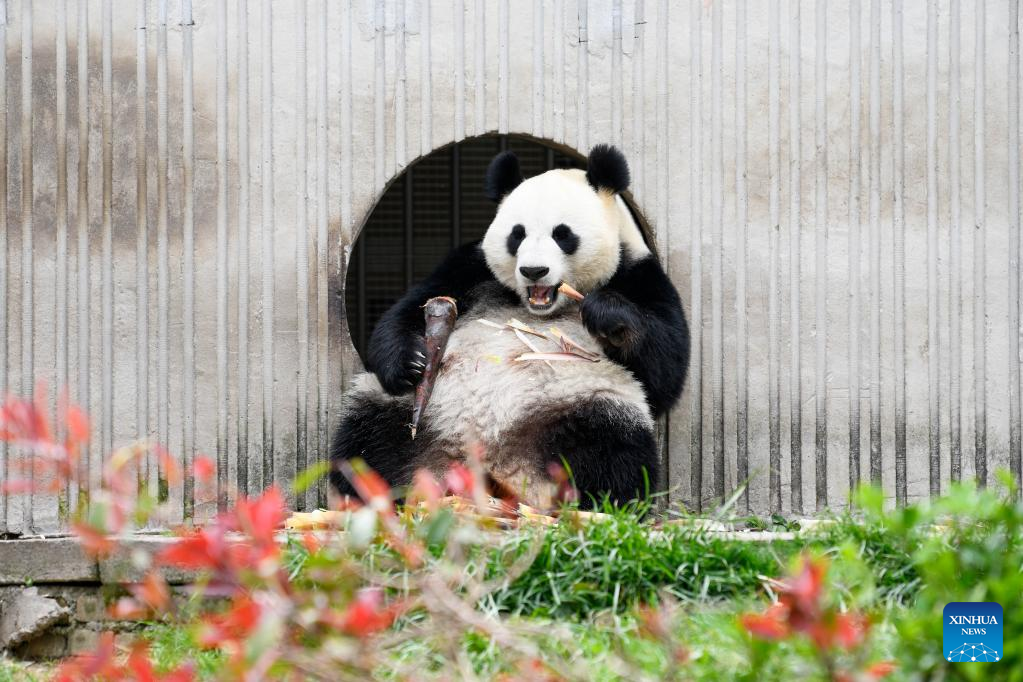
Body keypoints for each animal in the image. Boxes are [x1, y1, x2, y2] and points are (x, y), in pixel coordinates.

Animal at [331, 144, 691, 507]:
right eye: (517, 235)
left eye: (563, 234)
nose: (534, 271)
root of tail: (490, 465)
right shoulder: (470, 268)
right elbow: (407, 310)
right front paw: (410, 362)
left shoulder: (639, 275)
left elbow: (664, 369)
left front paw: (605, 312)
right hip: (413, 413)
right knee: (367, 440)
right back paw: (369, 494)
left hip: (584, 402)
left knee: (613, 450)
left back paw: (596, 502)